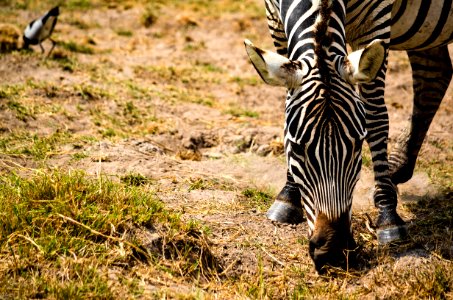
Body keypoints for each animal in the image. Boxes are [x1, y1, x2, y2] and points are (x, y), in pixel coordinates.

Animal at [245, 0, 450, 272]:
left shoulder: (375, 22)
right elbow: (287, 103)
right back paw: (397, 168)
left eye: (356, 146)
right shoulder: (274, 19)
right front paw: (288, 195)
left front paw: (387, 215)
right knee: (435, 74)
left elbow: (375, 116)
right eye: (297, 148)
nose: (333, 251)